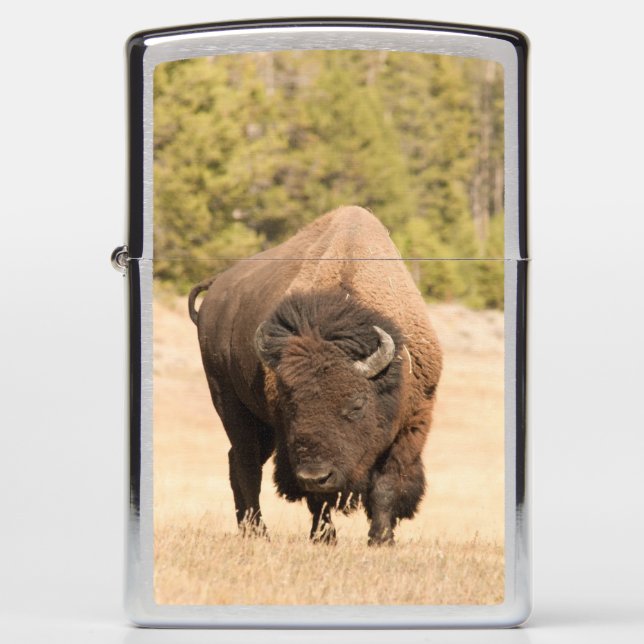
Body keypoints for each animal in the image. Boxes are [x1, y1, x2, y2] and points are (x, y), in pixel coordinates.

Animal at [189, 206, 442, 545]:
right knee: (246, 464)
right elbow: (318, 499)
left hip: (261, 427)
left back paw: (247, 529)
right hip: (230, 404)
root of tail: (216, 289)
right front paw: (325, 538)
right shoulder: (290, 441)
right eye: (291, 405)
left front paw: (381, 539)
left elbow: (386, 484)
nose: (315, 475)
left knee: (237, 462)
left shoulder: (412, 424)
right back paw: (258, 532)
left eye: (356, 404)